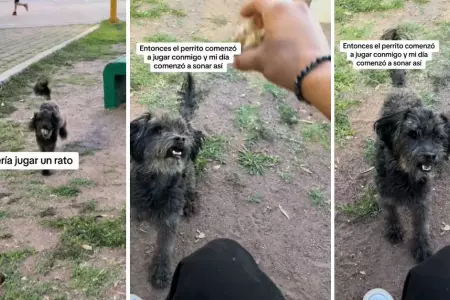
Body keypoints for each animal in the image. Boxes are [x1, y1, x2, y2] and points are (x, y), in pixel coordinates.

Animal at [130, 72, 206, 288]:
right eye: (158, 130)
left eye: (183, 131)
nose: (180, 138)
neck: (158, 179)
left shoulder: (170, 220)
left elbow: (165, 248)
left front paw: (161, 272)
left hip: (190, 175)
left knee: (192, 187)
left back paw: (190, 203)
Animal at [372, 29, 450, 262]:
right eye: (412, 134)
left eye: (438, 137)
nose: (431, 156)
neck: (405, 173)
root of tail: (401, 88)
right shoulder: (386, 196)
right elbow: (391, 214)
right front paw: (394, 230)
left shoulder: (421, 202)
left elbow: (421, 226)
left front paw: (422, 246)